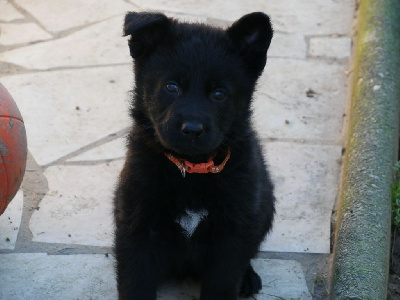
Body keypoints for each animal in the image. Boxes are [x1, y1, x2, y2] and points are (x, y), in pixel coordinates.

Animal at [112, 11, 276, 300]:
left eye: (219, 94)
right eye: (171, 86)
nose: (192, 129)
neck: (190, 171)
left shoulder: (231, 236)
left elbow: (222, 284)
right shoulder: (136, 225)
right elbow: (135, 283)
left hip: (264, 206)